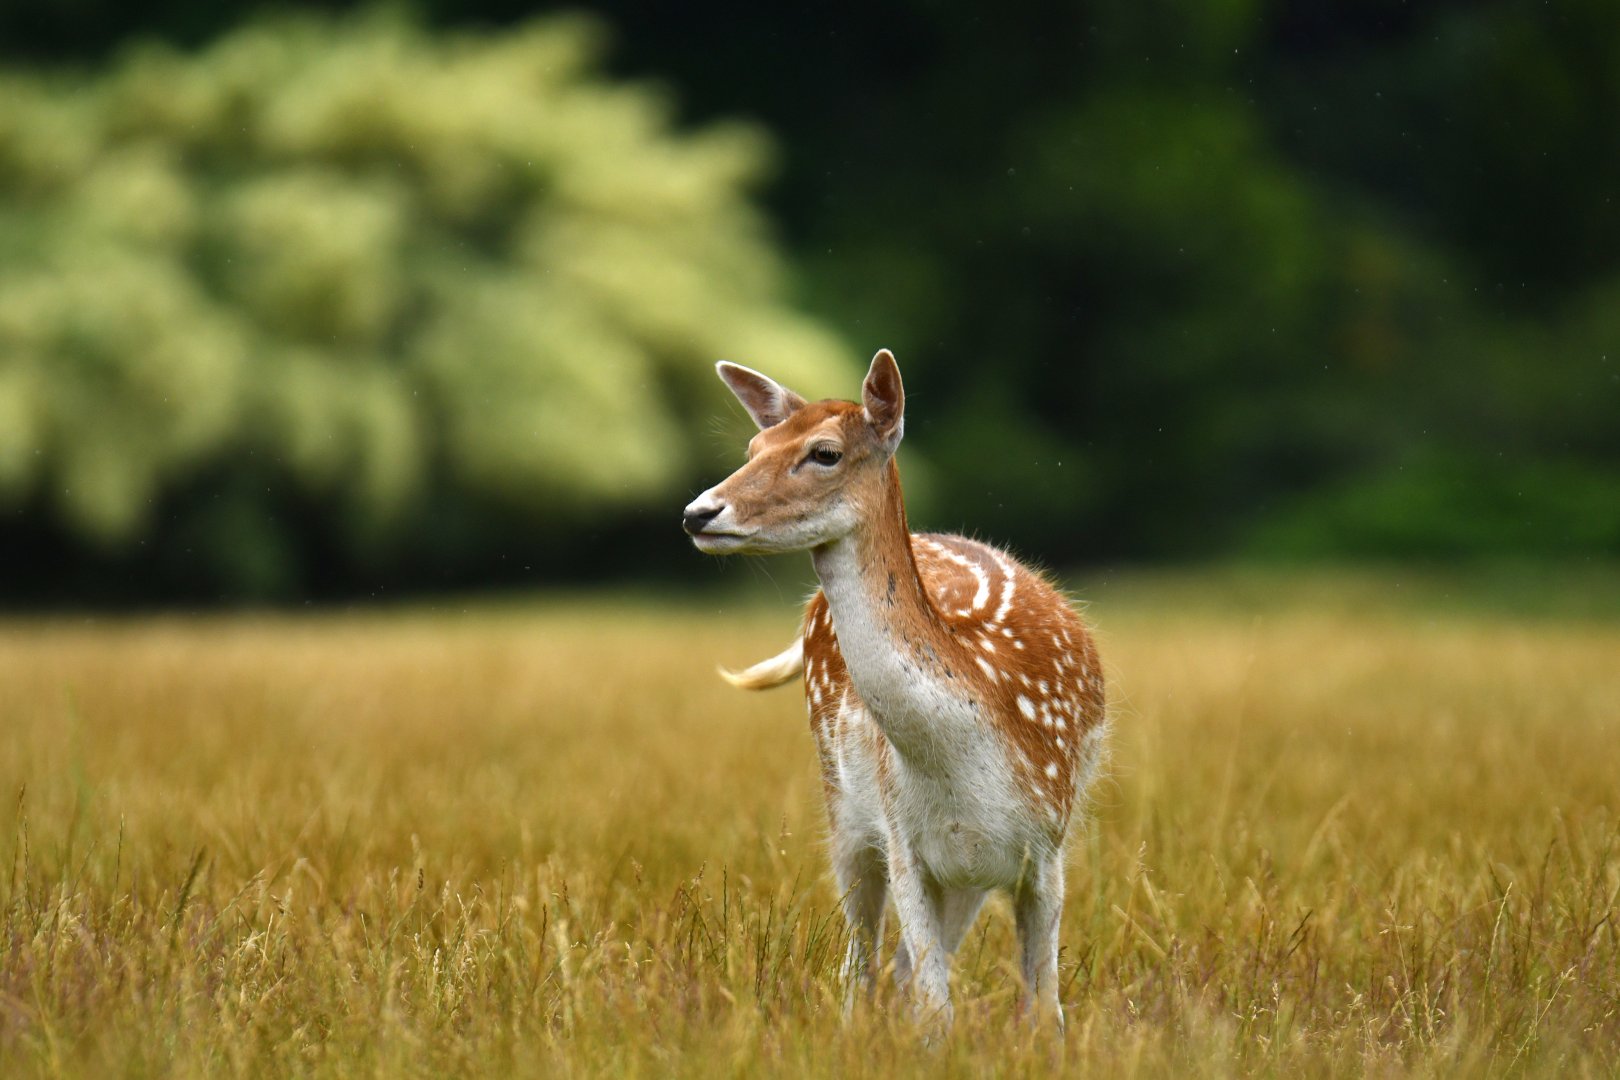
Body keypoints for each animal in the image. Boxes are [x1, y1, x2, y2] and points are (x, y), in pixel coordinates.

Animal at [682, 348, 1108, 1030]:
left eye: (824, 452)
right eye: (753, 446)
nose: (699, 513)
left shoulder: (1046, 848)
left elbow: (1045, 1013)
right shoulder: (905, 841)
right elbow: (935, 1010)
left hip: (964, 874)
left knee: (898, 971)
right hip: (846, 809)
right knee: (864, 965)